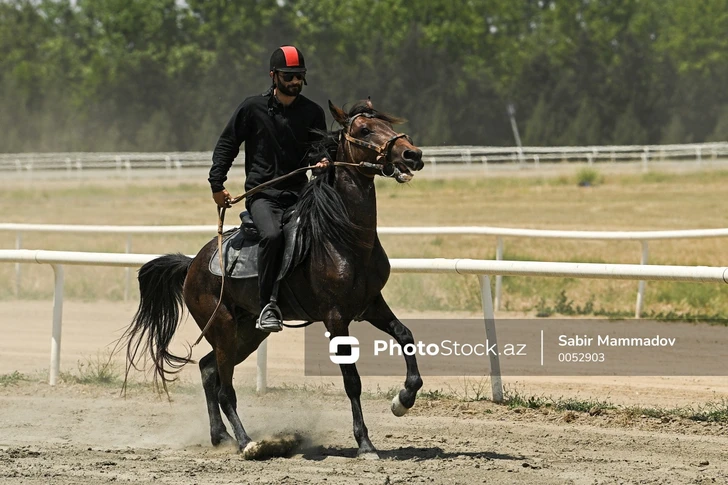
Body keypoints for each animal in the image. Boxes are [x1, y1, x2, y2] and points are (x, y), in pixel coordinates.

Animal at [121, 99, 424, 458]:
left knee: (208, 370)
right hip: (223, 328)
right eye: (364, 130)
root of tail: (193, 264)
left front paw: (402, 400)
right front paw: (365, 443)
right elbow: (352, 381)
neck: (342, 237)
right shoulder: (336, 318)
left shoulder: (371, 305)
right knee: (224, 388)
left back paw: (220, 436)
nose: (412, 154)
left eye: (388, 124)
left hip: (247, 333)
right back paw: (246, 442)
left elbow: (406, 336)